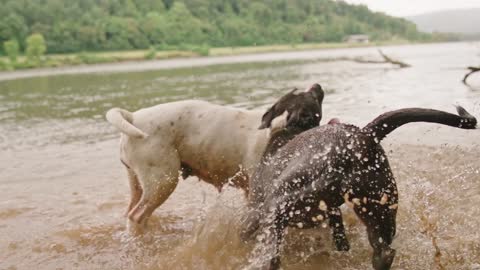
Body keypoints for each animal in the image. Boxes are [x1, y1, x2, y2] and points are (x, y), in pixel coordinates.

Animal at [105, 84, 322, 232]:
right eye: (311, 97)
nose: (317, 85)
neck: (277, 129)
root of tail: (133, 117)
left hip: (138, 182)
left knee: (131, 211)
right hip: (163, 181)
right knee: (137, 216)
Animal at [244, 104, 476, 268]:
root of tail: (363, 135)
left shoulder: (255, 212)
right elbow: (340, 237)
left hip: (283, 201)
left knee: (271, 253)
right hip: (379, 208)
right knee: (385, 250)